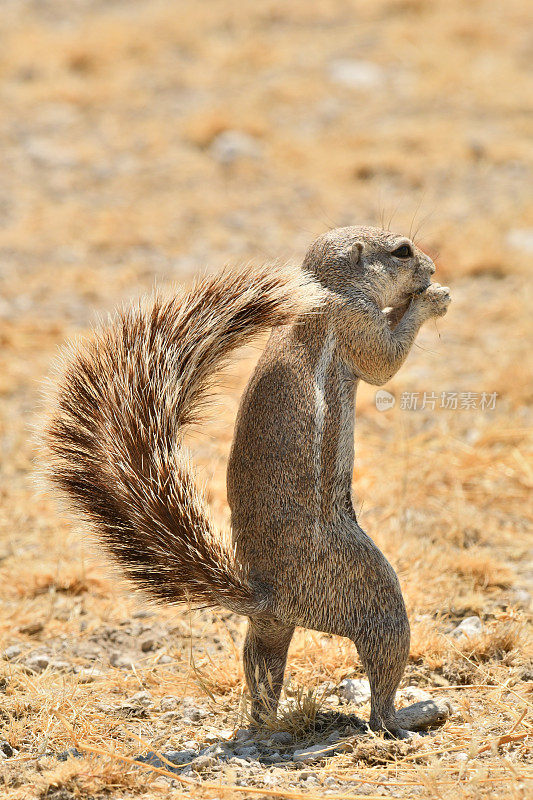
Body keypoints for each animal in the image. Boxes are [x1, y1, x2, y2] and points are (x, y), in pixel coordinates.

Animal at [47, 225, 450, 736]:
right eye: (402, 251)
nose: (432, 268)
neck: (330, 288)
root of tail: (268, 597)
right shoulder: (354, 323)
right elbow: (385, 362)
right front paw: (431, 299)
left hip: (272, 630)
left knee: (261, 662)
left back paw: (267, 724)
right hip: (368, 591)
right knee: (381, 681)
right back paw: (409, 716)